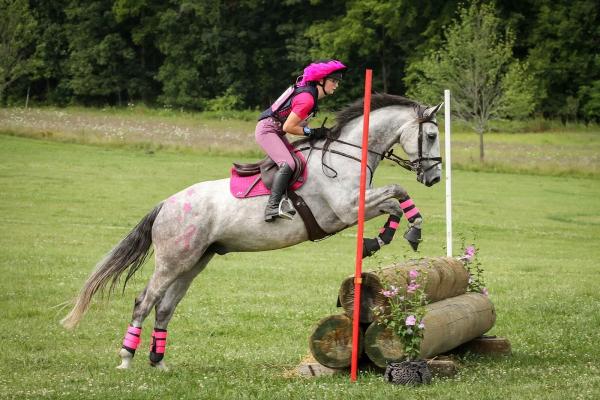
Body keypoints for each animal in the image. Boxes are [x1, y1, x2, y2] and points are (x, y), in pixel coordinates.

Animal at [61, 93, 442, 368]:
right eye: (432, 135)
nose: (435, 178)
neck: (347, 156)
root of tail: (166, 204)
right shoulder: (346, 208)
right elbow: (396, 193)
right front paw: (395, 235)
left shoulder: (355, 207)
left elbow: (396, 198)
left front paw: (388, 237)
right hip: (172, 260)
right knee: (145, 300)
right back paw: (126, 359)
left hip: (195, 262)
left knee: (165, 307)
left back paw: (159, 363)